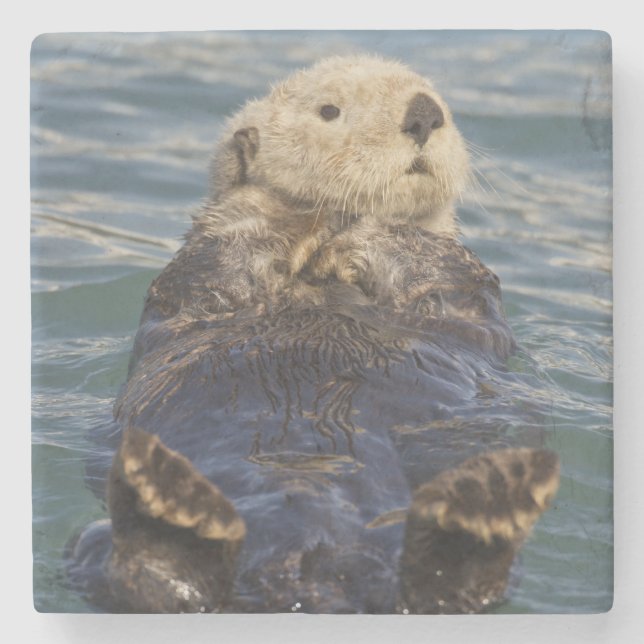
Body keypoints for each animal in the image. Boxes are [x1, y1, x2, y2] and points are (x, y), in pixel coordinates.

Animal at [67, 55, 559, 614]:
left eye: (436, 97)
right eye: (330, 110)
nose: (424, 114)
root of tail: (315, 572)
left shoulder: (460, 290)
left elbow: (430, 261)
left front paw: (362, 233)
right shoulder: (198, 281)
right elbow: (225, 256)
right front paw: (285, 217)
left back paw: (483, 512)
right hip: (91, 543)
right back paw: (169, 514)